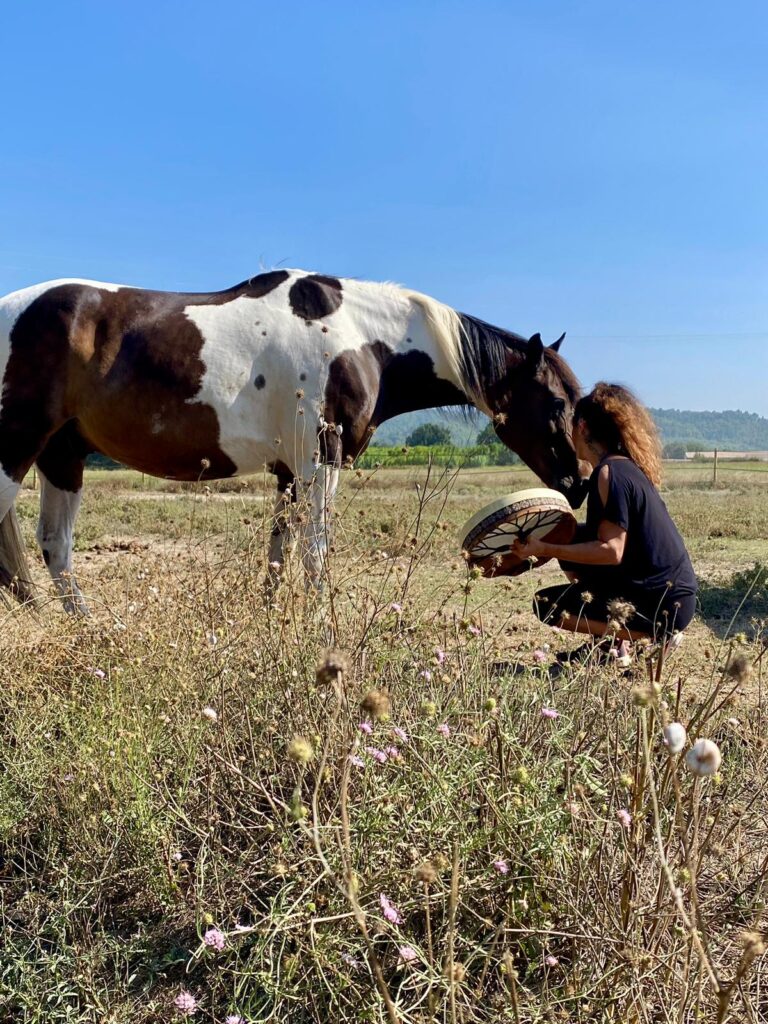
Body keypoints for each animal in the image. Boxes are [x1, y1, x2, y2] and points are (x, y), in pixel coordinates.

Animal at [0, 268, 581, 610]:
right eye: (557, 403)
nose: (576, 483)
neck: (359, 337)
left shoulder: (288, 471)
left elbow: (279, 556)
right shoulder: (322, 462)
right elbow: (316, 553)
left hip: (62, 456)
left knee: (55, 546)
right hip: (18, 447)